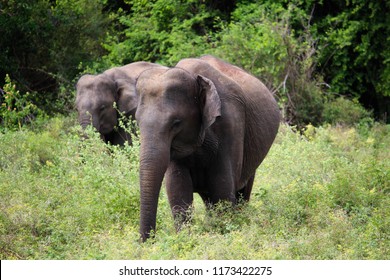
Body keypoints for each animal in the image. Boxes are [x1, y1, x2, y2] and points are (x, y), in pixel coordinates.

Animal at [135, 55, 280, 241]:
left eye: (176, 123)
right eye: (137, 121)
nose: (147, 242)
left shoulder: (230, 124)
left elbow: (222, 189)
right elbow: (177, 188)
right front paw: (186, 239)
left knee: (242, 192)